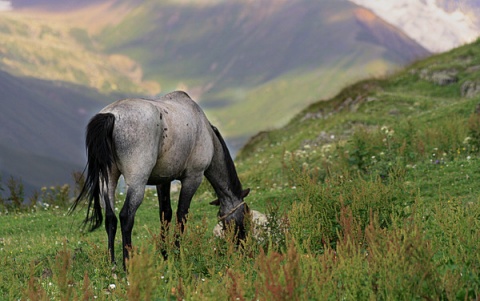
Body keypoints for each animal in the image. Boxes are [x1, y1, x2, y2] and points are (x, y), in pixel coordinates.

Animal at [72, 90, 251, 266]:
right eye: (245, 214)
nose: (242, 246)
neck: (204, 129)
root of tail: (112, 114)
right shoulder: (193, 178)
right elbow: (181, 215)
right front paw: (177, 255)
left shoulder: (163, 180)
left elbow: (165, 214)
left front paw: (165, 254)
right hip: (137, 182)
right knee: (126, 216)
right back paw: (127, 263)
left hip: (108, 180)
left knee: (110, 218)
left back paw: (112, 264)